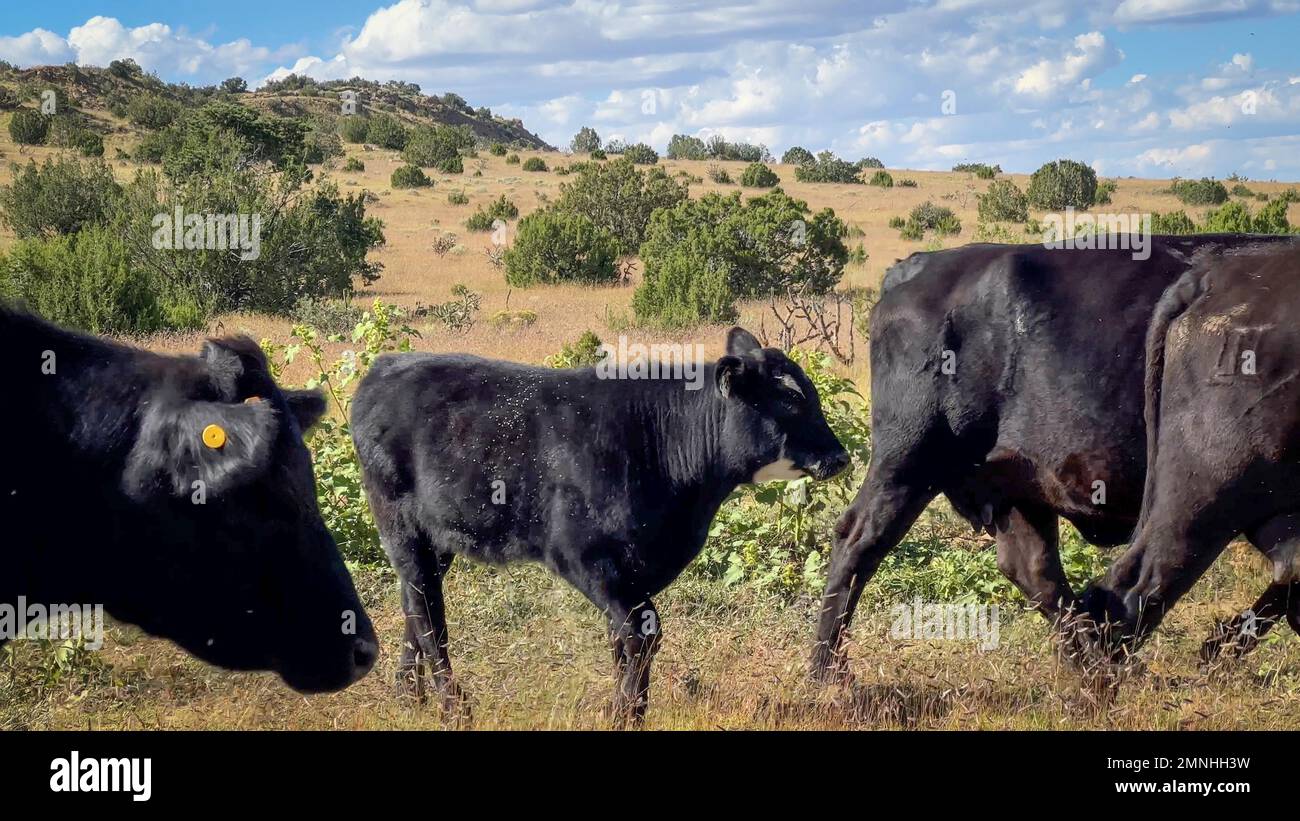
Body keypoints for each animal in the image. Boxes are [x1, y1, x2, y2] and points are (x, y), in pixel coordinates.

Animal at [351, 327, 850, 724]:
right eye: (790, 399)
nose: (841, 456)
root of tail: (387, 366)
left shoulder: (633, 572)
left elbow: (624, 639)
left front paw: (624, 707)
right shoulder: (584, 556)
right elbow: (641, 633)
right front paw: (628, 714)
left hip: (437, 540)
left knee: (414, 604)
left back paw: (409, 696)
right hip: (400, 527)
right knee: (427, 614)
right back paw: (455, 708)